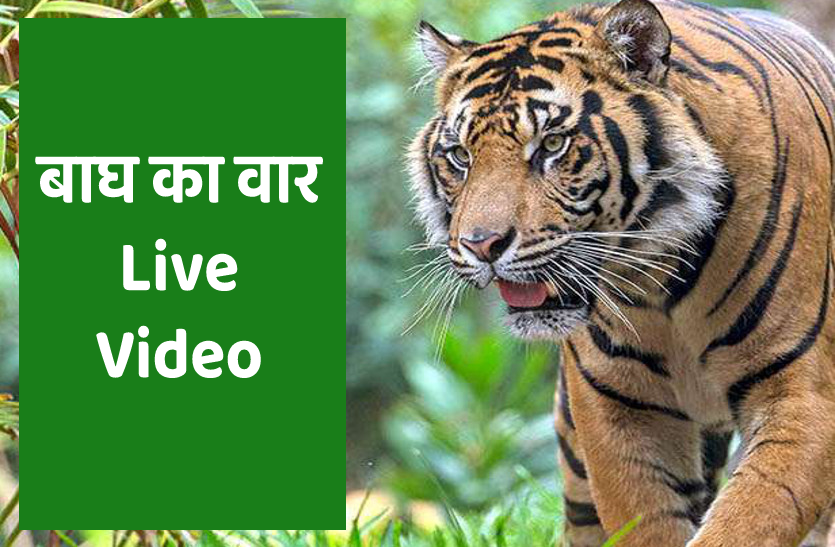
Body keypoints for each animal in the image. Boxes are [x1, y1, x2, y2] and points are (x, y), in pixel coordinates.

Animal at [406, 0, 835, 545]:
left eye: (552, 144)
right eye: (460, 156)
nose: (481, 245)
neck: (662, 286)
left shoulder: (804, 395)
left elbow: (748, 521)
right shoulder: (618, 408)